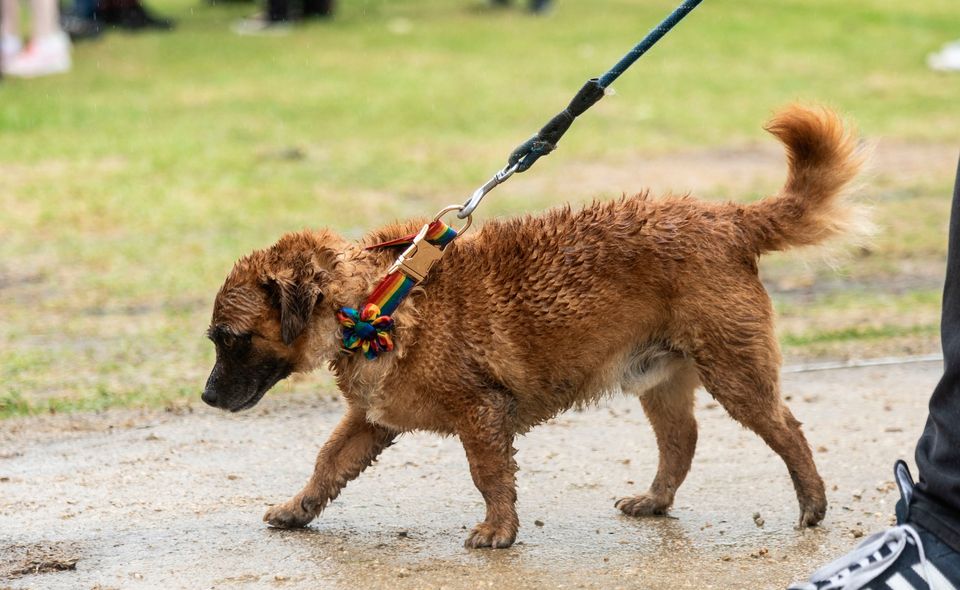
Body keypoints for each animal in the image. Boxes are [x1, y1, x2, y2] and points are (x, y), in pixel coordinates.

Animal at [201, 105, 864, 552]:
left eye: (231, 338)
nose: (206, 397)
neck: (378, 295)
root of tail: (729, 219)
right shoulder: (370, 420)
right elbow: (327, 463)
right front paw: (298, 509)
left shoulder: (482, 413)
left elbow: (489, 475)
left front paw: (499, 529)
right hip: (660, 379)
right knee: (682, 441)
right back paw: (656, 500)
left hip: (735, 371)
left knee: (786, 429)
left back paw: (812, 503)